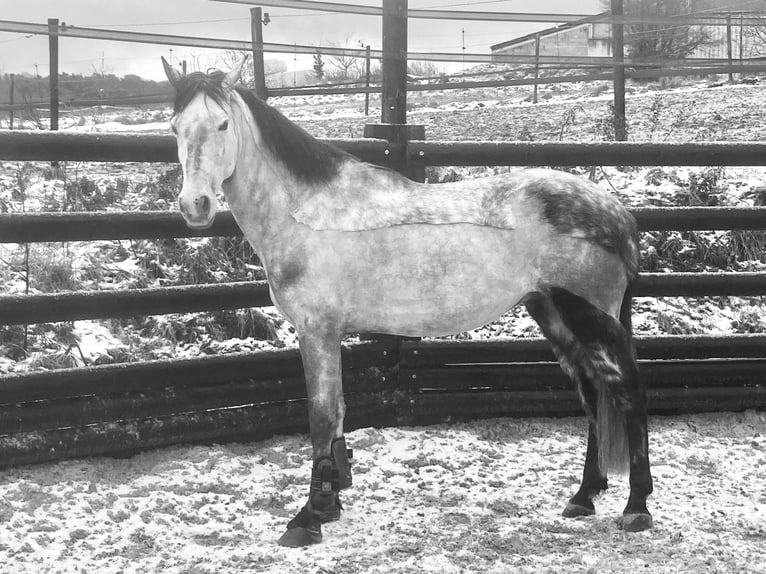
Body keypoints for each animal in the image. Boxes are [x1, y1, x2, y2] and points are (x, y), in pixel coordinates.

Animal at [162, 58, 656, 548]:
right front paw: (332, 500)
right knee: (592, 393)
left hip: (591, 317)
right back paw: (583, 496)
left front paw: (309, 517)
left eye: (223, 124)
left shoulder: (316, 330)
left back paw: (636, 507)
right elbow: (336, 413)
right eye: (174, 127)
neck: (307, 214)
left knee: (628, 392)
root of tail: (618, 214)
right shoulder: (327, 334)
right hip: (552, 313)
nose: (194, 205)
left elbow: (320, 416)